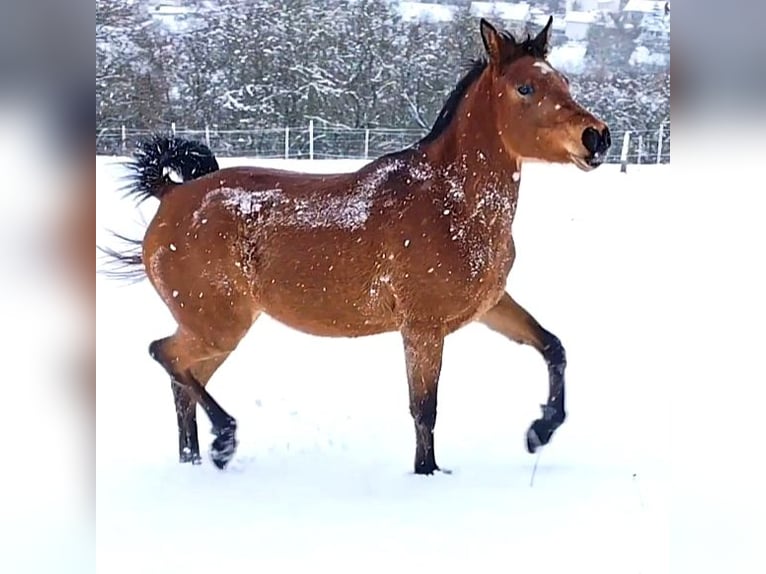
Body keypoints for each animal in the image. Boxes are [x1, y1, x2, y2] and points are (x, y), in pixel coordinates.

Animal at [101, 17, 611, 475]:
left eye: (564, 81)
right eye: (525, 88)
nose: (597, 137)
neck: (452, 203)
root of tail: (170, 194)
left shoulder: (489, 305)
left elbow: (553, 346)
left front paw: (539, 431)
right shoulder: (422, 327)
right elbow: (424, 407)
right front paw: (427, 474)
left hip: (217, 329)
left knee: (182, 379)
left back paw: (197, 460)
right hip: (216, 324)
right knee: (164, 354)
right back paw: (224, 440)